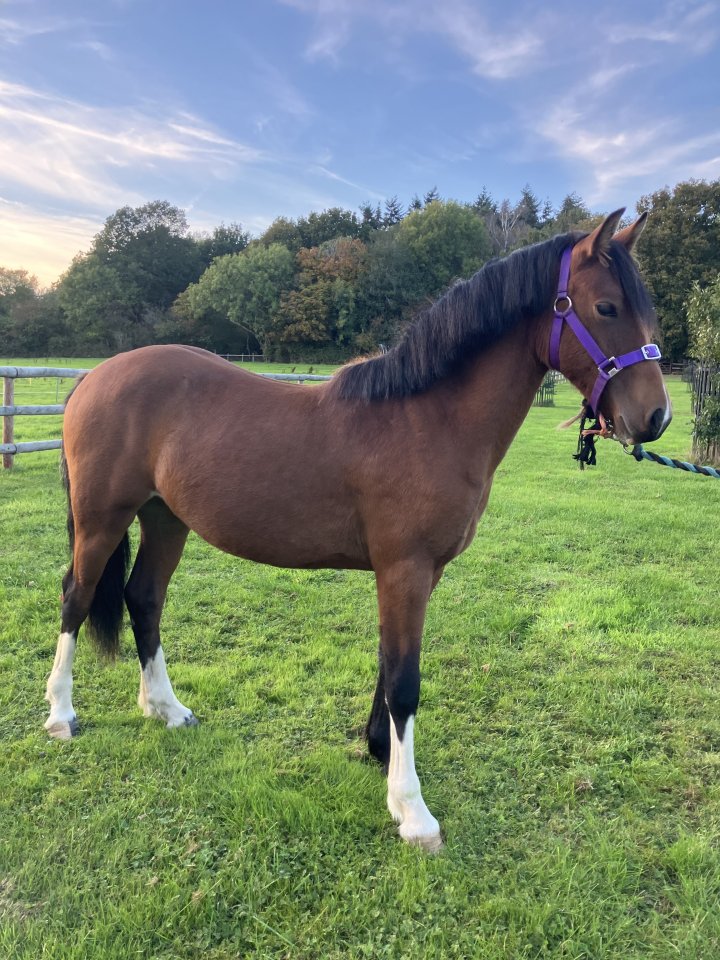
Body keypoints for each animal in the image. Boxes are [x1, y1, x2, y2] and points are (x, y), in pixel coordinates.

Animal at [45, 209, 671, 851]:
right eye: (606, 308)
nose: (655, 418)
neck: (429, 418)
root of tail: (95, 377)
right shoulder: (404, 570)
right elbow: (405, 679)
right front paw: (412, 810)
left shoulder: (418, 574)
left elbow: (389, 664)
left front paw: (378, 752)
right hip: (101, 519)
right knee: (77, 597)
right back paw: (62, 715)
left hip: (165, 518)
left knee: (143, 598)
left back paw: (166, 710)